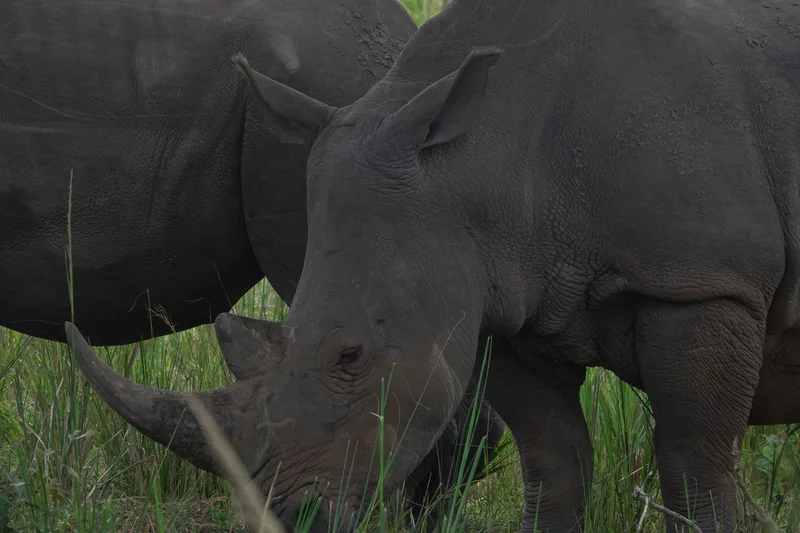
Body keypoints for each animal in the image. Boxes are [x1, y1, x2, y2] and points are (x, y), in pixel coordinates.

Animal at [64, 0, 800, 530]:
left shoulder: (704, 282)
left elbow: (693, 465)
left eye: (352, 354)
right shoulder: (505, 300)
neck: (487, 160)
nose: (296, 517)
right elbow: (553, 461)